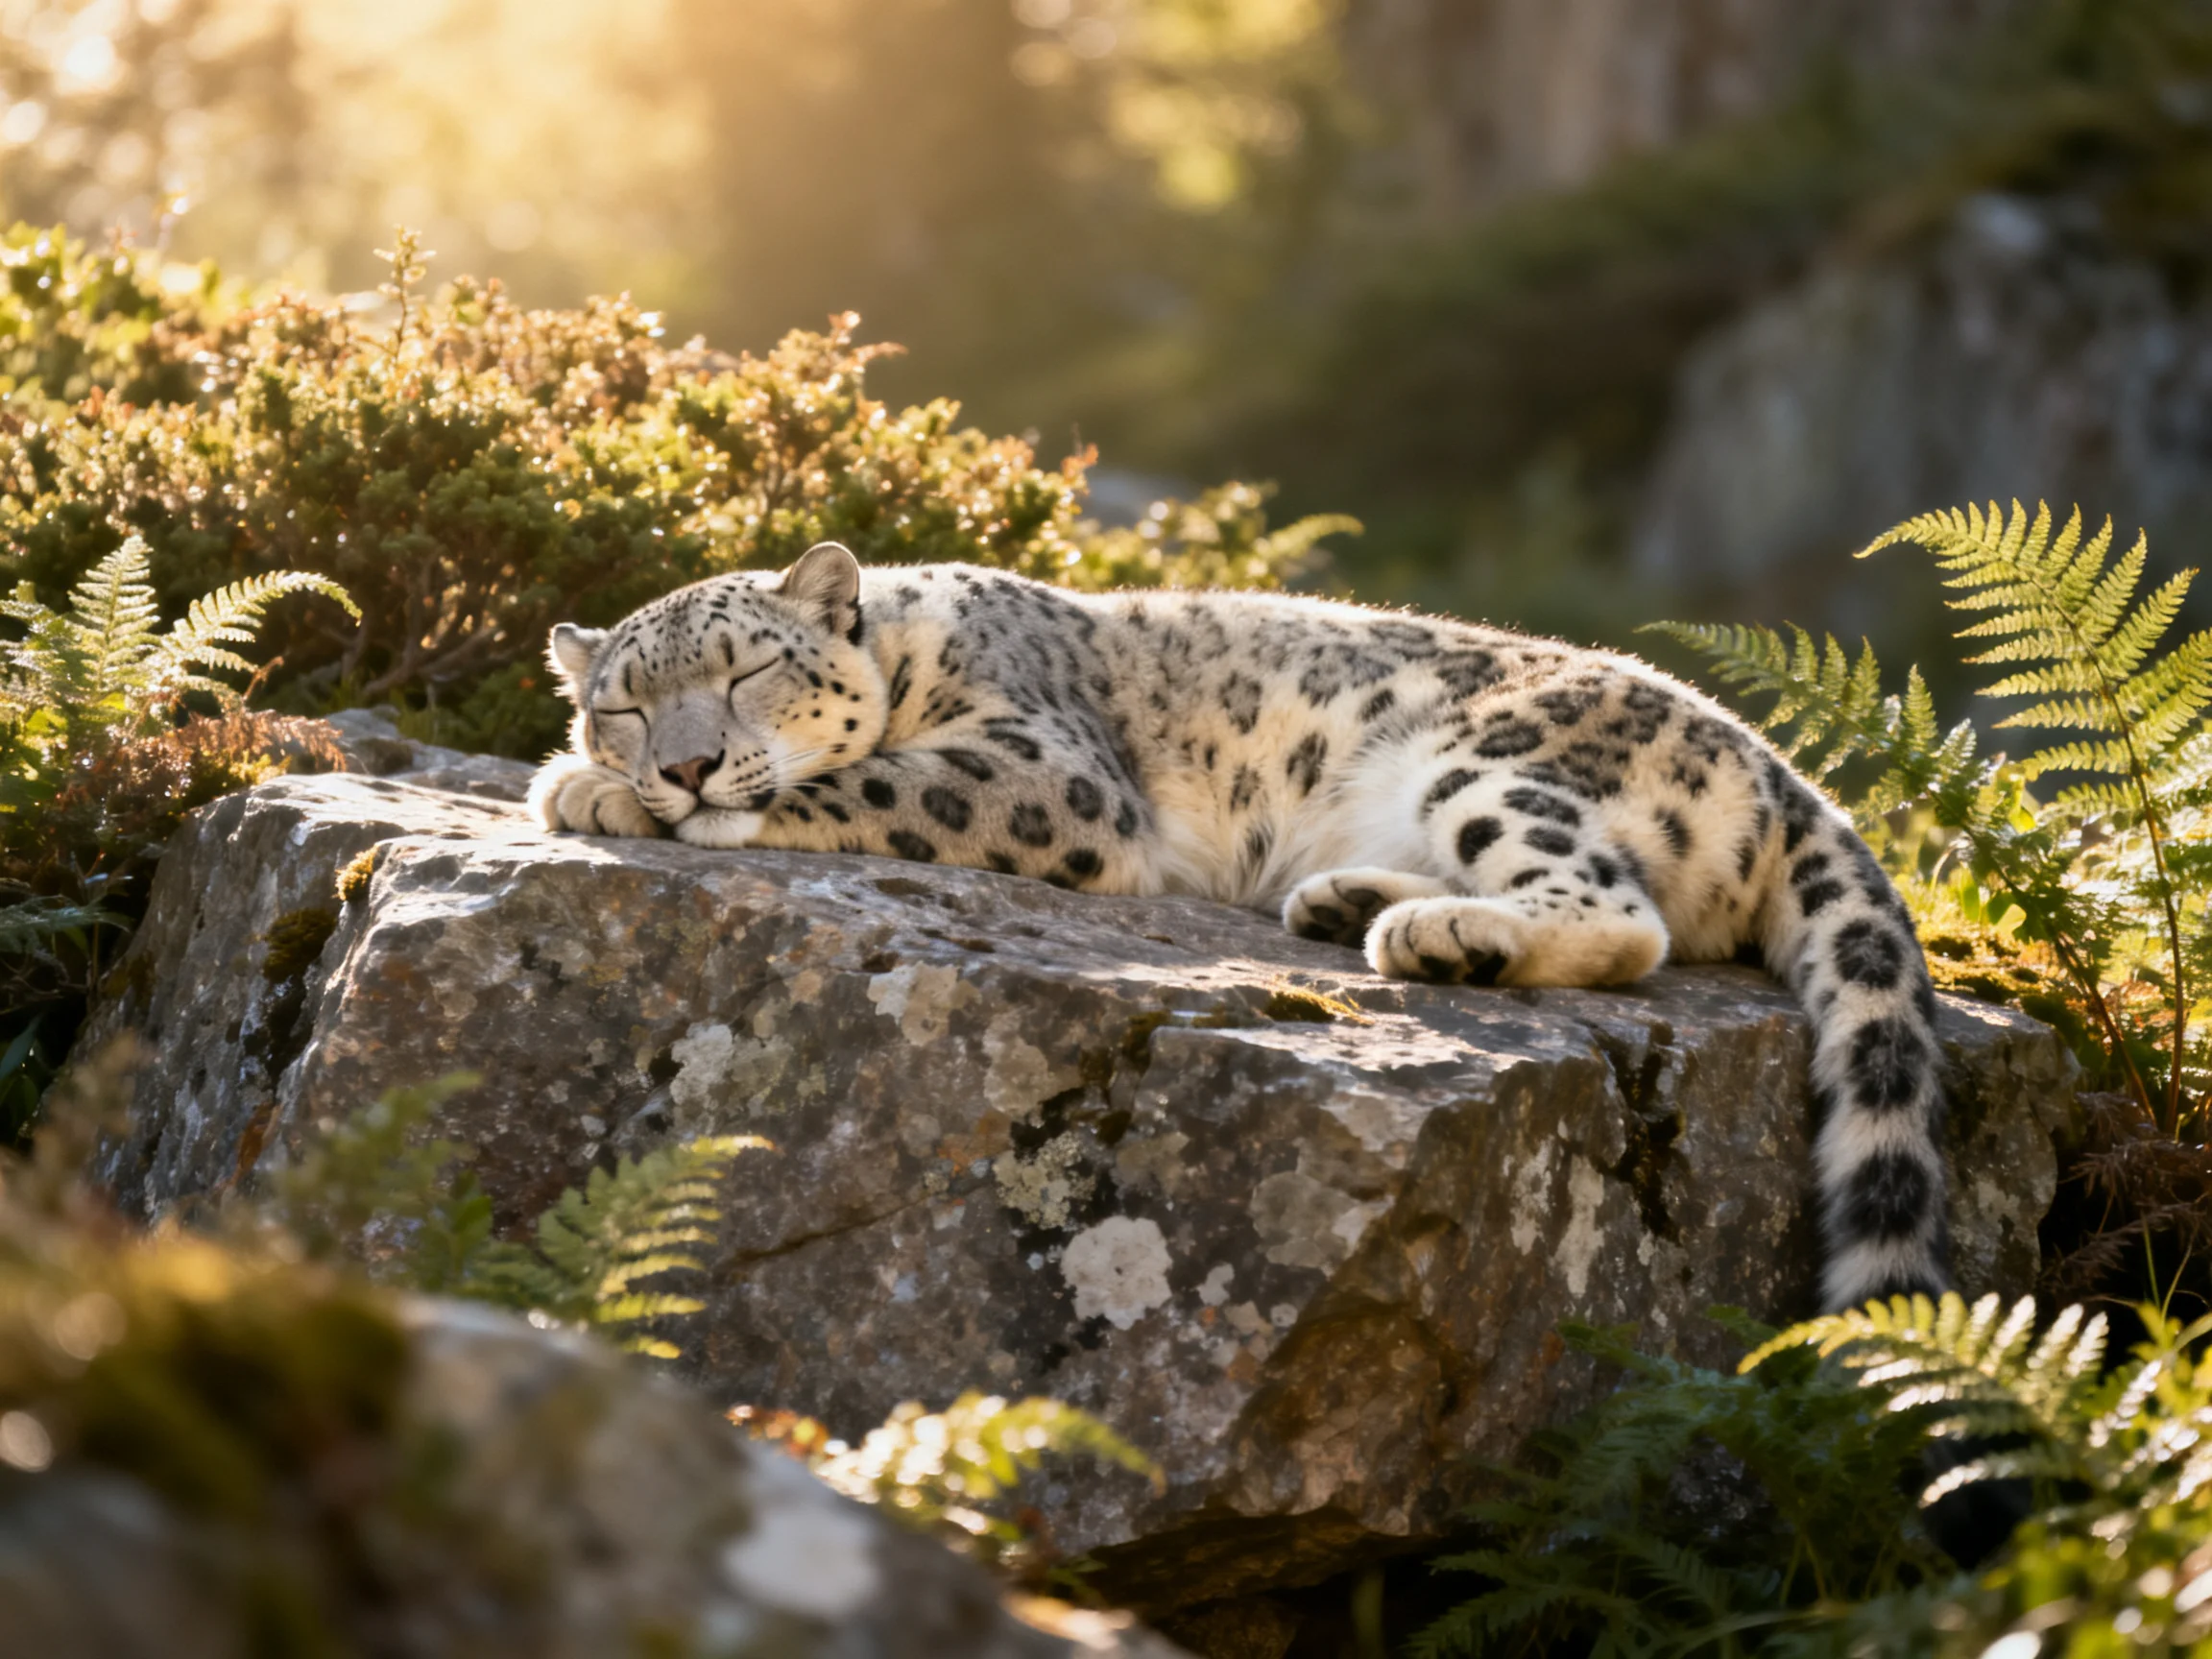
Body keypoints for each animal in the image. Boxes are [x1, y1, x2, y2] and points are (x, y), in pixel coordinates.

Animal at [529, 542, 1951, 1312]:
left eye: (748, 668)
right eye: (622, 705)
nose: (681, 765)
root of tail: (1777, 762)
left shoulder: (1046, 769)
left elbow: (866, 780)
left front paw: (598, 798)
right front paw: (594, 785)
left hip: (1491, 768)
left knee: (1623, 917)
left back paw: (1433, 934)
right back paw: (1348, 900)